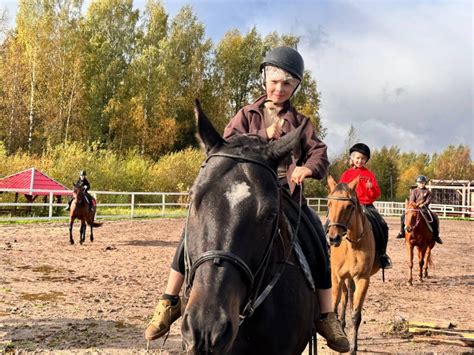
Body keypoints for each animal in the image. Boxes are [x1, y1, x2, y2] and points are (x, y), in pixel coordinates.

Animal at [326, 177, 378, 354]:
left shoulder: (362, 279)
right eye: (329, 204)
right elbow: (335, 308)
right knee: (344, 299)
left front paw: (353, 348)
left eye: (349, 206)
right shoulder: (336, 277)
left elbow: (355, 315)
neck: (352, 245)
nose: (333, 238)